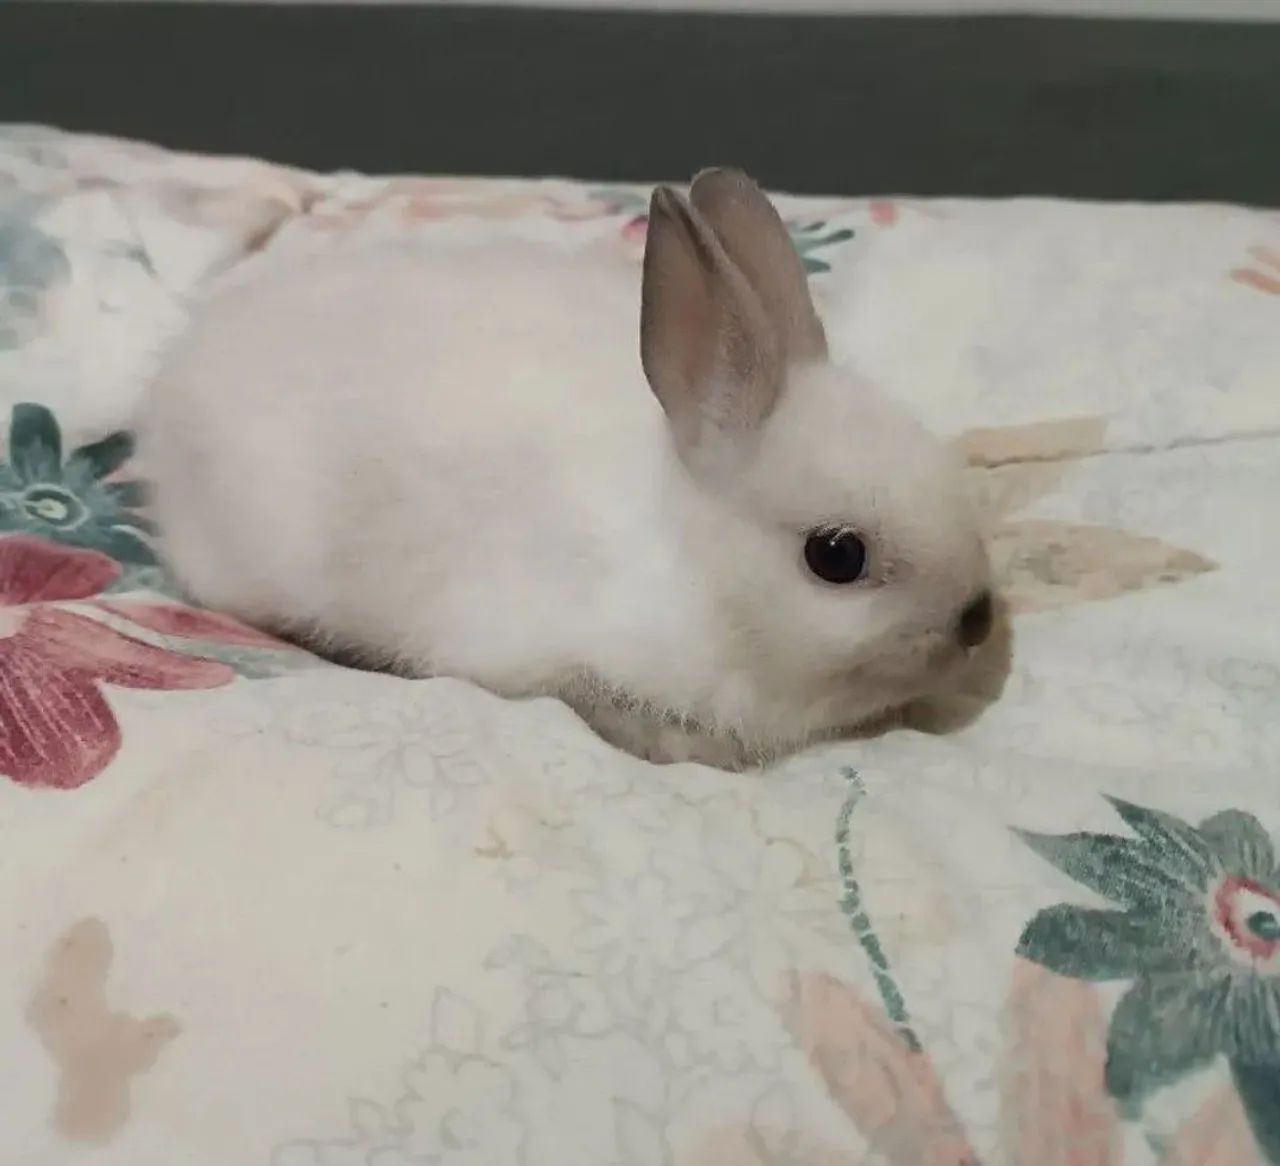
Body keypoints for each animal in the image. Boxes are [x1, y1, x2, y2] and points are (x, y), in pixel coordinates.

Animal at [140, 168, 995, 770]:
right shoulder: (538, 652)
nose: (979, 621)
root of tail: (177, 381)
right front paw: (691, 749)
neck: (693, 561)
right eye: (836, 556)